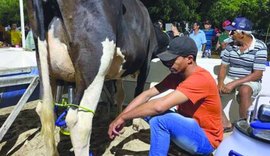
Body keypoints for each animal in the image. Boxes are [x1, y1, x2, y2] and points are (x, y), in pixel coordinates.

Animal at [26, 0, 159, 155]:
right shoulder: (146, 63)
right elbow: (138, 92)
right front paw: (136, 123)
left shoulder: (118, 72)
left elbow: (120, 94)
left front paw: (119, 118)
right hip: (94, 67)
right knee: (79, 122)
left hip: (46, 69)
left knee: (45, 110)